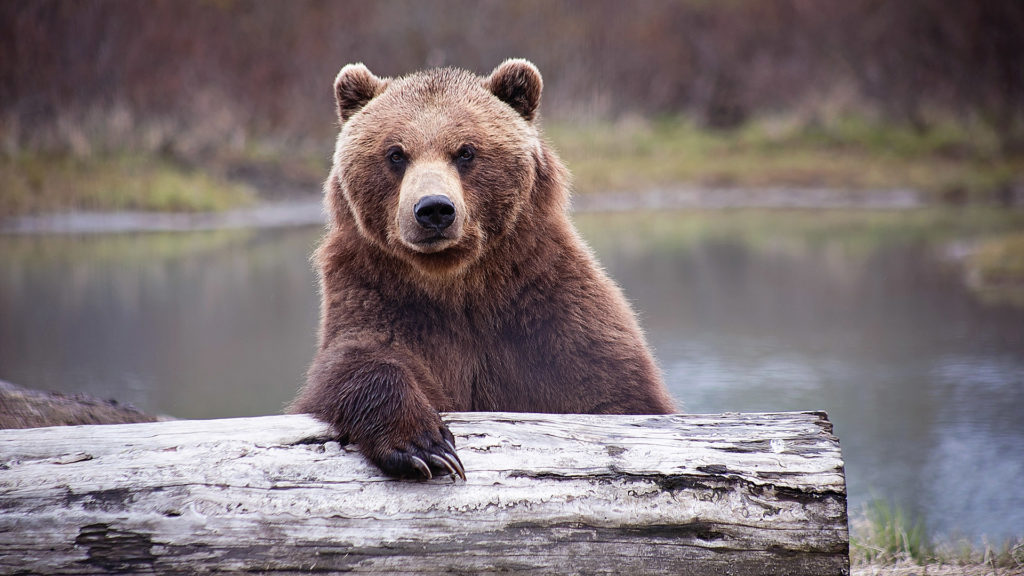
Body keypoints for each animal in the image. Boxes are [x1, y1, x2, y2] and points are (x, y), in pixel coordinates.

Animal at [288, 59, 671, 479]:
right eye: (395, 154)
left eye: (466, 151)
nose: (434, 209)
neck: (459, 283)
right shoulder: (376, 295)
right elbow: (356, 361)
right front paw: (424, 446)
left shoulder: (549, 311)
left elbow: (614, 392)